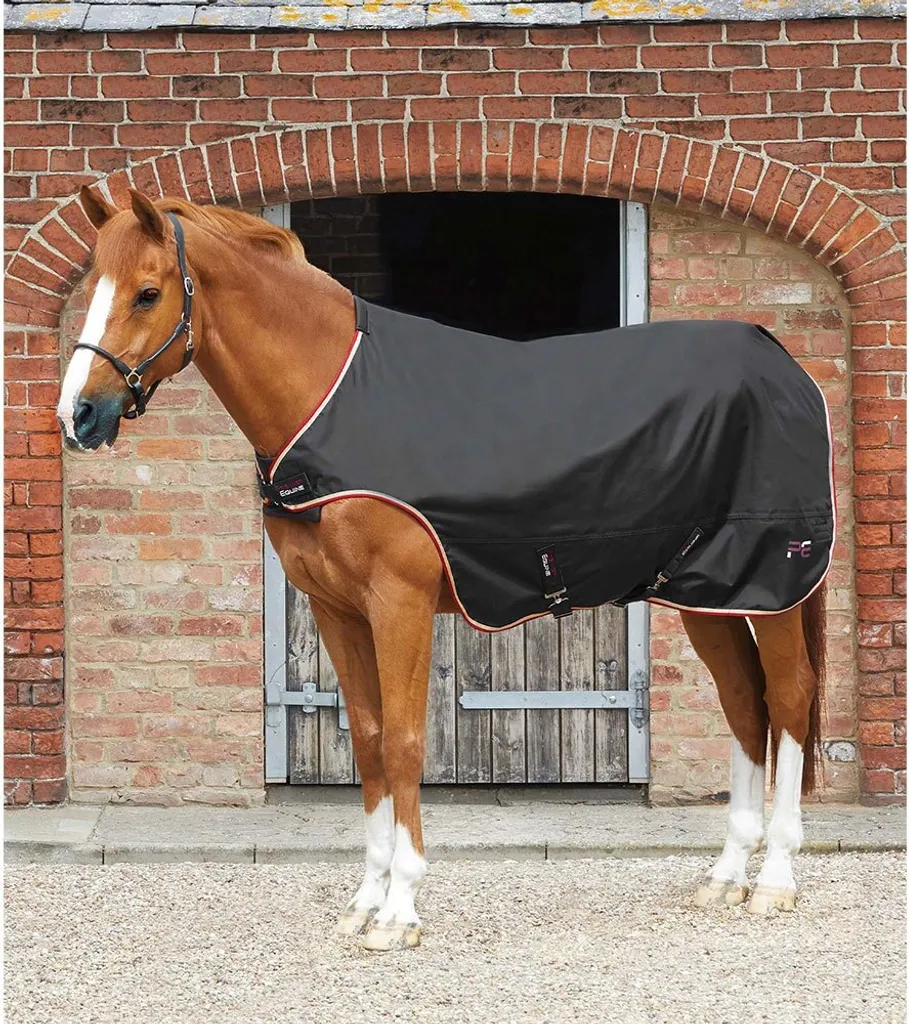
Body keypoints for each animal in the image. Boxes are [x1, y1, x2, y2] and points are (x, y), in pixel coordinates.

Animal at [57, 187, 828, 952]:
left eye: (148, 292)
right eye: (90, 287)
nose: (78, 416)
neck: (332, 401)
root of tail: (783, 365)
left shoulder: (398, 602)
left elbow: (404, 743)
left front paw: (400, 911)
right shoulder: (336, 610)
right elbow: (369, 742)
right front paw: (365, 902)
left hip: (773, 585)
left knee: (789, 696)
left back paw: (775, 881)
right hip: (709, 592)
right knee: (743, 702)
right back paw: (726, 876)